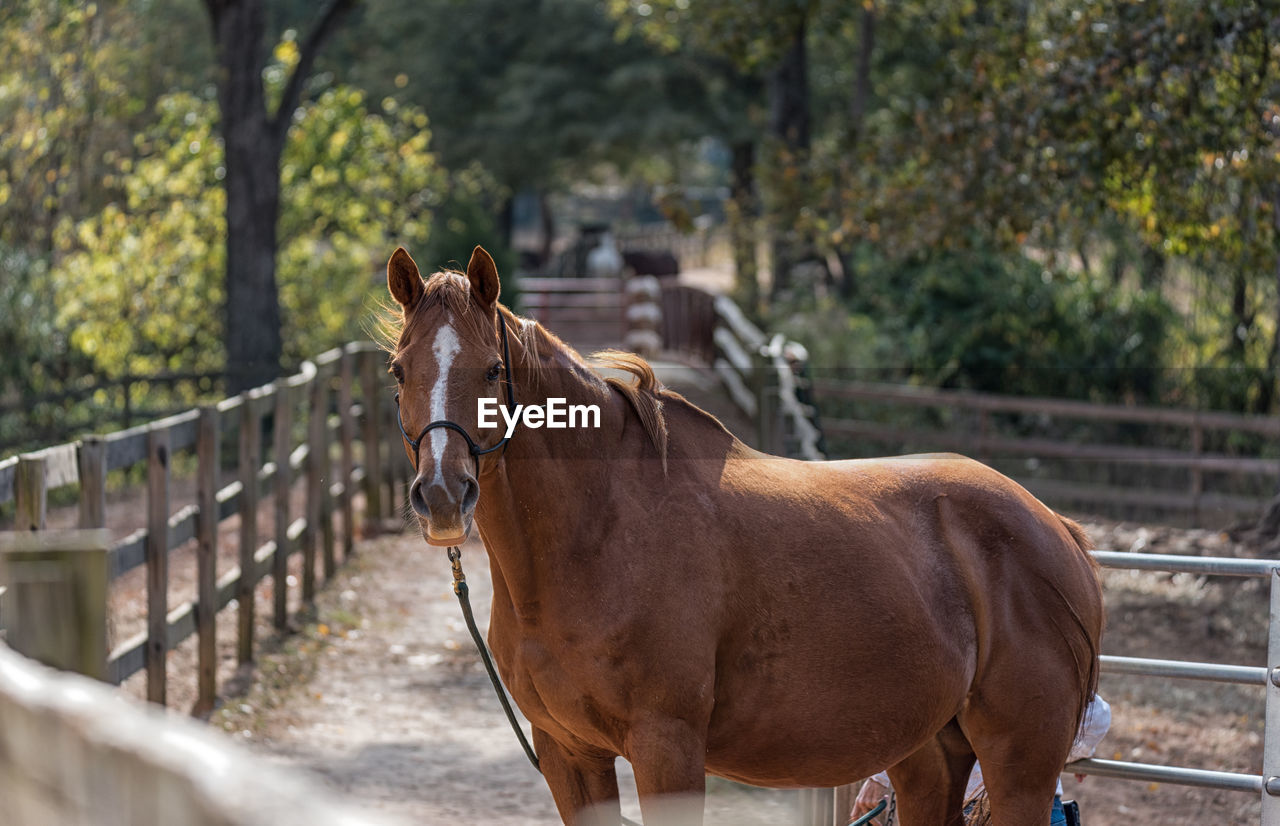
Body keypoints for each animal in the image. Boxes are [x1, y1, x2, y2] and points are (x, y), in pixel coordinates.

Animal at [384, 245, 1105, 824]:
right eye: (398, 370)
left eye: (492, 370)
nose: (442, 495)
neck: (597, 535)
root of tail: (1057, 527)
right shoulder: (568, 752)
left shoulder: (667, 749)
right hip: (927, 752)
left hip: (1019, 764)